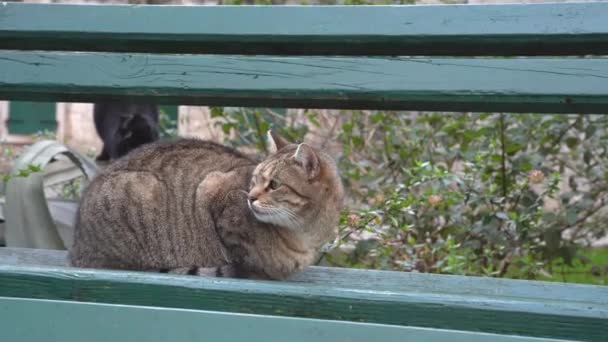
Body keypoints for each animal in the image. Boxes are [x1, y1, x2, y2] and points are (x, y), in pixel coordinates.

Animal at [69, 130, 344, 280]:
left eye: (274, 184)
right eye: (254, 179)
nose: (250, 197)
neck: (303, 234)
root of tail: (77, 247)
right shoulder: (213, 188)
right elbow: (242, 253)